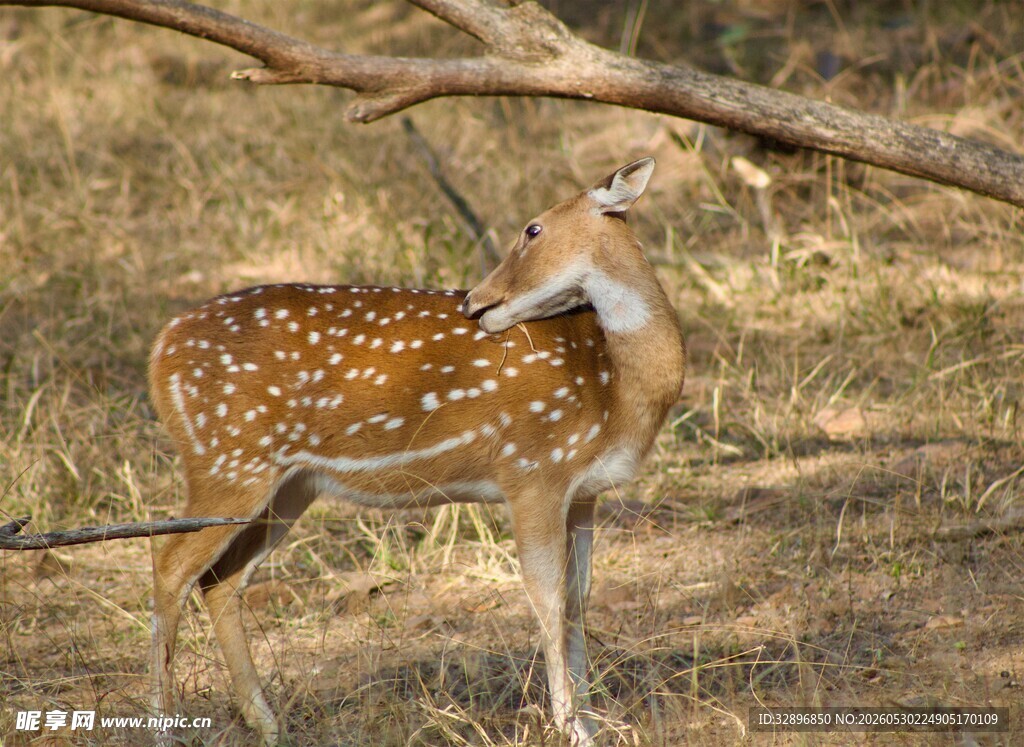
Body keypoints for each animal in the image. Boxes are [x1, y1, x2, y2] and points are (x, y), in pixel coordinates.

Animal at [148, 157, 686, 745]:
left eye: (533, 229)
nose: (474, 302)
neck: (616, 390)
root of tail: (159, 351)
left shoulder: (584, 492)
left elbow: (578, 599)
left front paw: (592, 720)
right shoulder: (532, 470)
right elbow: (547, 598)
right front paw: (572, 728)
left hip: (287, 484)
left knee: (220, 580)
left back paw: (267, 725)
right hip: (226, 459)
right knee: (169, 566)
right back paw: (164, 727)